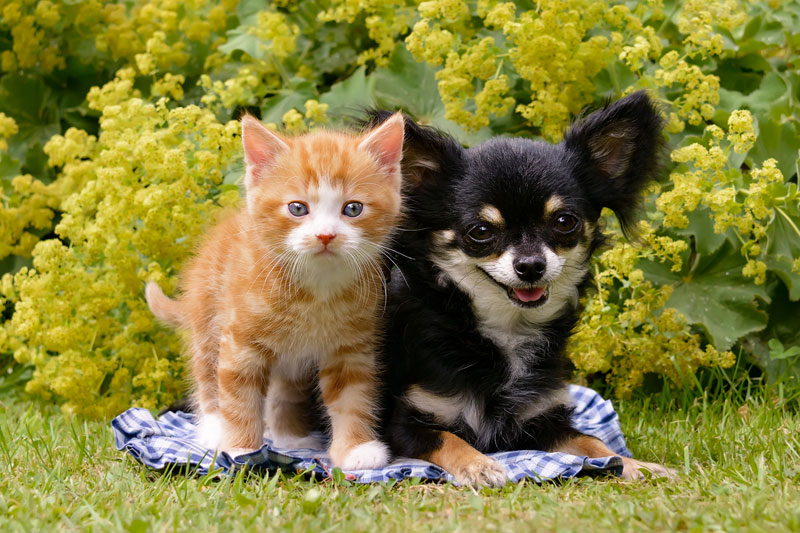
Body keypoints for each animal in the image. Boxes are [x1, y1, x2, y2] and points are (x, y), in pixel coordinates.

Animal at [145, 114, 404, 468]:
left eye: (353, 209)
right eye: (297, 208)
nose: (325, 235)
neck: (315, 290)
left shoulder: (349, 346)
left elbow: (351, 395)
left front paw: (355, 449)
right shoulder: (240, 341)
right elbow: (239, 397)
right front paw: (240, 448)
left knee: (283, 389)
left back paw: (288, 437)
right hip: (208, 318)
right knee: (207, 377)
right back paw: (213, 429)